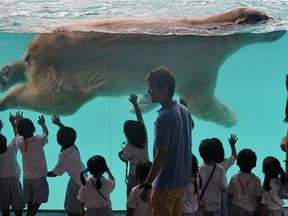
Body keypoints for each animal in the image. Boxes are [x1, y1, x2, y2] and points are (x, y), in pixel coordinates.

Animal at [0, 7, 284, 127]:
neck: (210, 29)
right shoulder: (199, 62)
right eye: (265, 18)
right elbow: (201, 102)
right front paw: (230, 116)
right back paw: (5, 100)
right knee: (56, 99)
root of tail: (36, 47)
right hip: (69, 72)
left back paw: (7, 73)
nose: (280, 29)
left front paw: (143, 103)